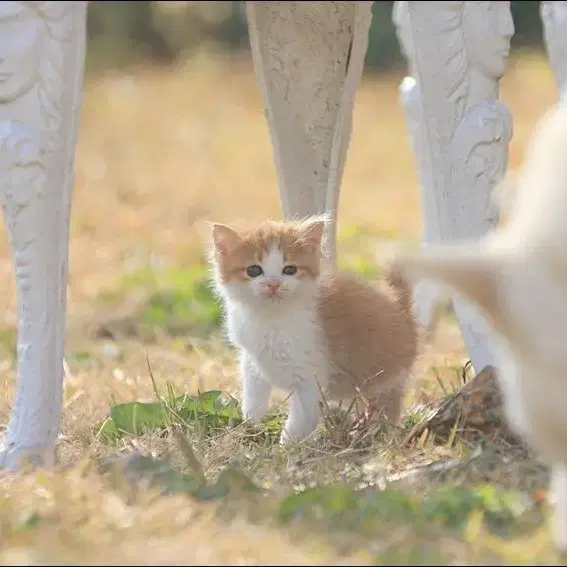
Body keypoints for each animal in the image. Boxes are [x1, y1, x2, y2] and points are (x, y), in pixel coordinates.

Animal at [211, 216, 420, 444]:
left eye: (289, 269)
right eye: (254, 270)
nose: (273, 285)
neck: (271, 318)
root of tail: (401, 308)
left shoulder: (310, 377)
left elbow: (300, 419)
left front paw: (285, 447)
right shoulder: (250, 359)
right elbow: (253, 398)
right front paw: (248, 428)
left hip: (384, 377)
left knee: (388, 406)